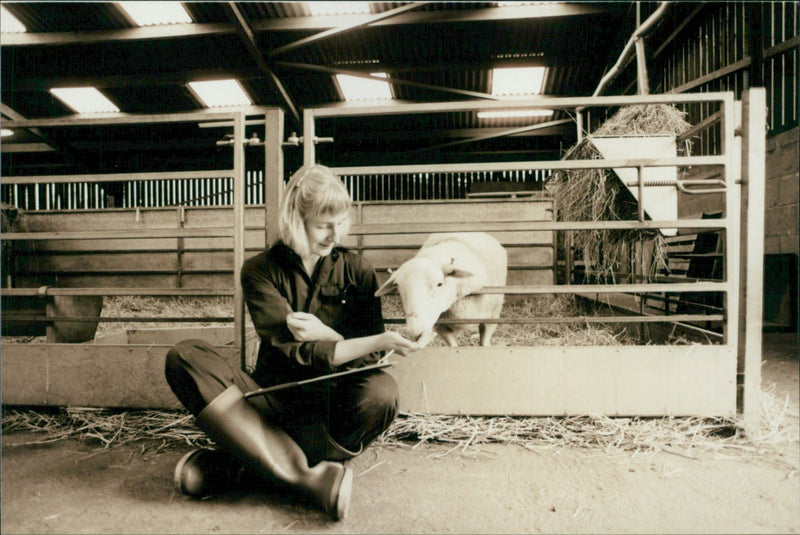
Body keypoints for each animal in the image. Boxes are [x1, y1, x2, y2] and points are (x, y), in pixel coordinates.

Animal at [376, 231, 506, 348]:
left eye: (439, 284)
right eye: (398, 287)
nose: (415, 333)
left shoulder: (492, 318)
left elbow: (484, 342)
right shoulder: (441, 325)